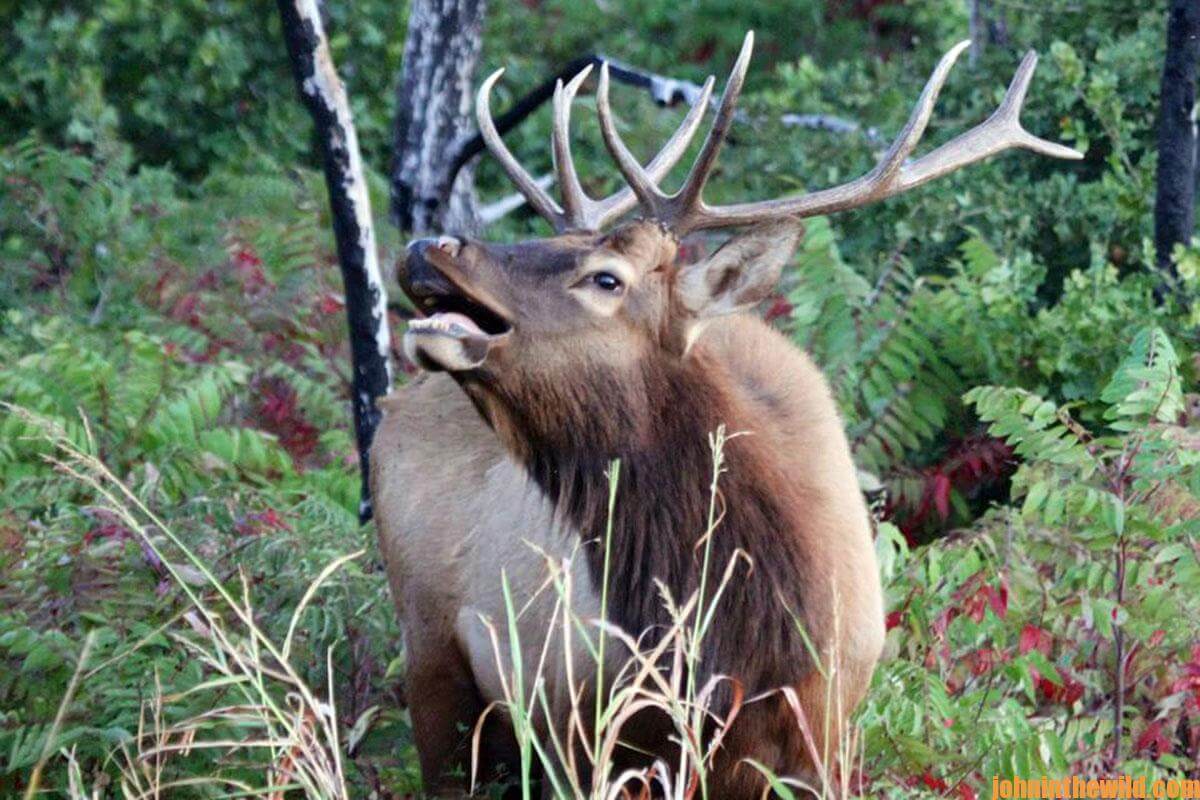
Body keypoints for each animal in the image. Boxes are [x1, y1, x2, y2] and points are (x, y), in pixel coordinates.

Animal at [370, 33, 1080, 798]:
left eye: (605, 278)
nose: (429, 247)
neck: (745, 649)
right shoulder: (581, 736)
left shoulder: (826, 745)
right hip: (431, 655)